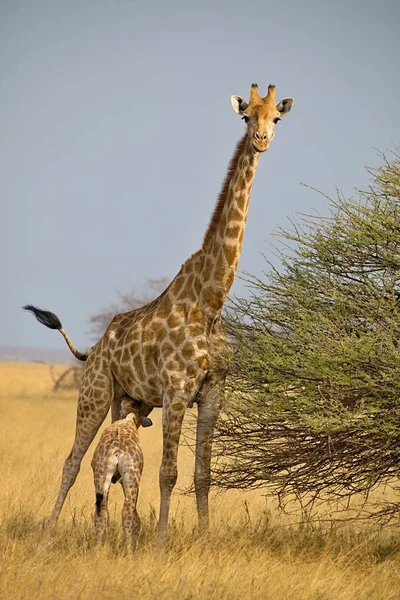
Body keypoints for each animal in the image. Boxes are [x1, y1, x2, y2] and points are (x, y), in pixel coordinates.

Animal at [91, 394, 152, 552]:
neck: (129, 418)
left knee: (102, 511)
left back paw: (97, 551)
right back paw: (130, 551)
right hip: (131, 476)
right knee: (127, 511)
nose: (125, 394)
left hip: (101, 474)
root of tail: (116, 448)